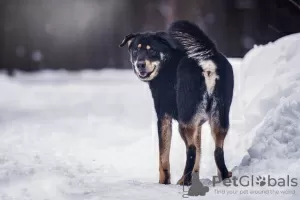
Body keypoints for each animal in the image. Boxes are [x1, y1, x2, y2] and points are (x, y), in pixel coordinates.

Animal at [119, 20, 234, 186]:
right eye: (136, 50)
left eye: (152, 50)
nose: (140, 64)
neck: (167, 64)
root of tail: (207, 61)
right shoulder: (197, 123)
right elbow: (199, 154)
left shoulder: (163, 117)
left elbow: (163, 158)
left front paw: (164, 182)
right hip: (219, 119)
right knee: (218, 150)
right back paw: (223, 177)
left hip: (184, 123)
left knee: (191, 150)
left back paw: (184, 181)